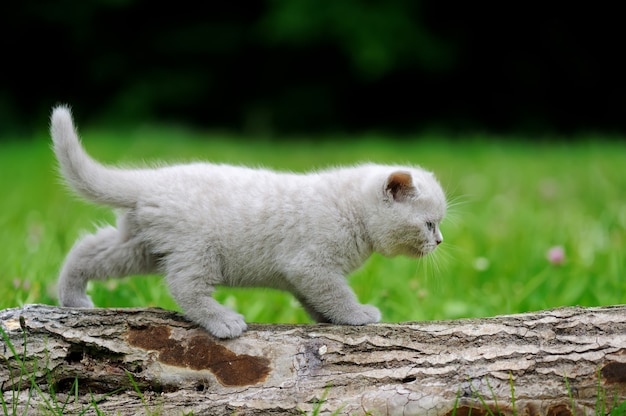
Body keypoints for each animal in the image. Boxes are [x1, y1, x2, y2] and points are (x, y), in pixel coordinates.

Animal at [52, 105, 444, 338]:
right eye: (429, 224)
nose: (439, 242)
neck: (351, 211)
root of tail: (151, 181)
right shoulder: (310, 265)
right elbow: (336, 293)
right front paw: (357, 314)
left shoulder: (301, 275)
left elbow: (316, 299)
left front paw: (328, 318)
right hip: (196, 250)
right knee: (185, 287)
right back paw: (224, 321)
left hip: (140, 247)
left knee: (88, 249)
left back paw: (72, 297)